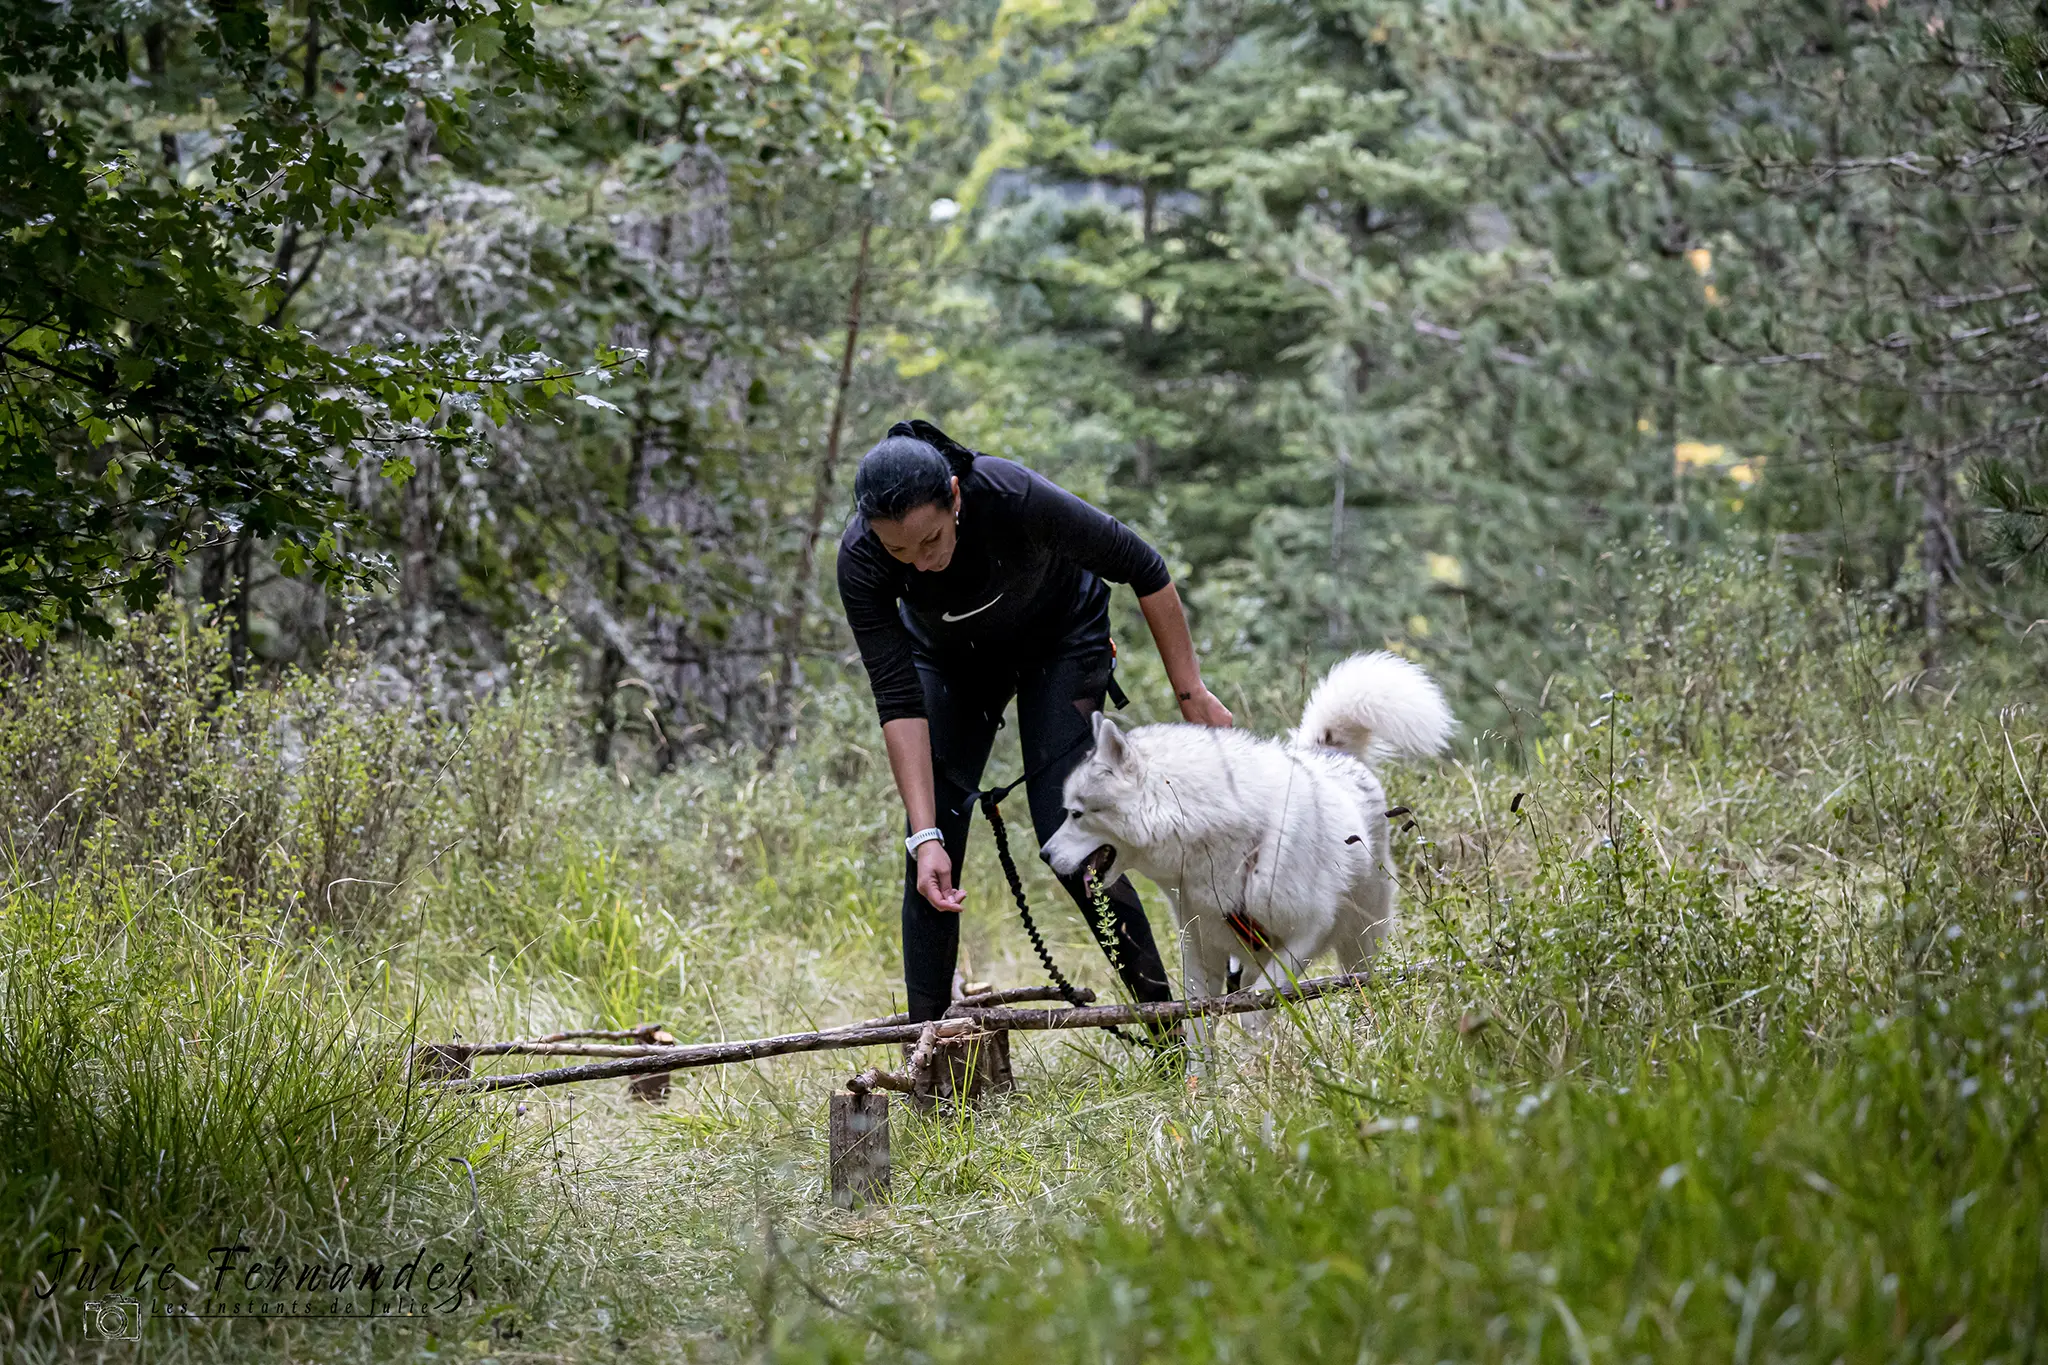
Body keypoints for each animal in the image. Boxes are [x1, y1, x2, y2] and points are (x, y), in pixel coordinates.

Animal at [1040, 654, 1458, 1023]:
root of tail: (1327, 751)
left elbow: (1258, 1007)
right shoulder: (1200, 954)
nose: (1045, 855)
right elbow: (1199, 1023)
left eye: (1076, 814)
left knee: (1367, 984)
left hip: (1361, 942)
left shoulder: (1307, 932)